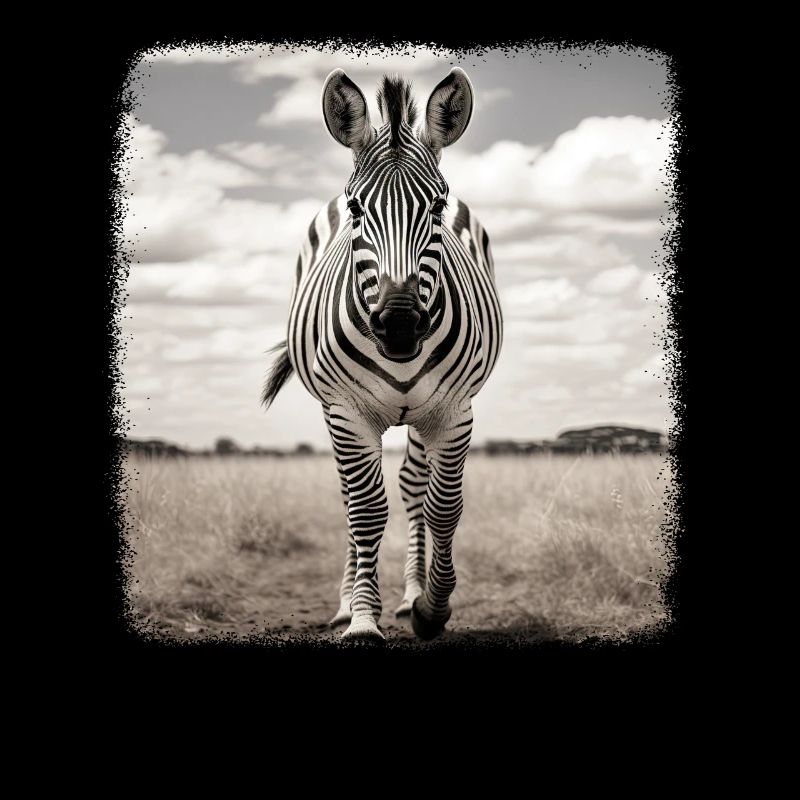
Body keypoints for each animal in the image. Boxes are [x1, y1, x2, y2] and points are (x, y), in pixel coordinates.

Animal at [262, 68, 503, 642]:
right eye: (356, 209)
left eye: (437, 207)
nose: (398, 325)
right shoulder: (346, 412)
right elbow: (366, 510)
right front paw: (362, 620)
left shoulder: (453, 411)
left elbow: (443, 507)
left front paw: (431, 608)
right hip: (337, 412)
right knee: (352, 498)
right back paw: (347, 601)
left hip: (419, 416)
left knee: (415, 488)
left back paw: (411, 594)